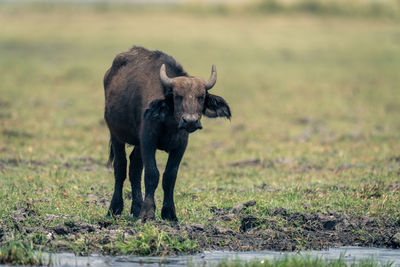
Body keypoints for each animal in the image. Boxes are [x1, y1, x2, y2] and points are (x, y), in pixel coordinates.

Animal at [103, 46, 230, 222]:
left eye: (201, 96)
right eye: (177, 96)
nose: (190, 121)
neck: (170, 123)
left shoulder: (180, 146)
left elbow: (170, 176)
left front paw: (169, 213)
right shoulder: (148, 141)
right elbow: (152, 173)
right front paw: (148, 213)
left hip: (137, 144)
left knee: (135, 168)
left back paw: (136, 207)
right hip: (116, 135)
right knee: (120, 167)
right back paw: (114, 209)